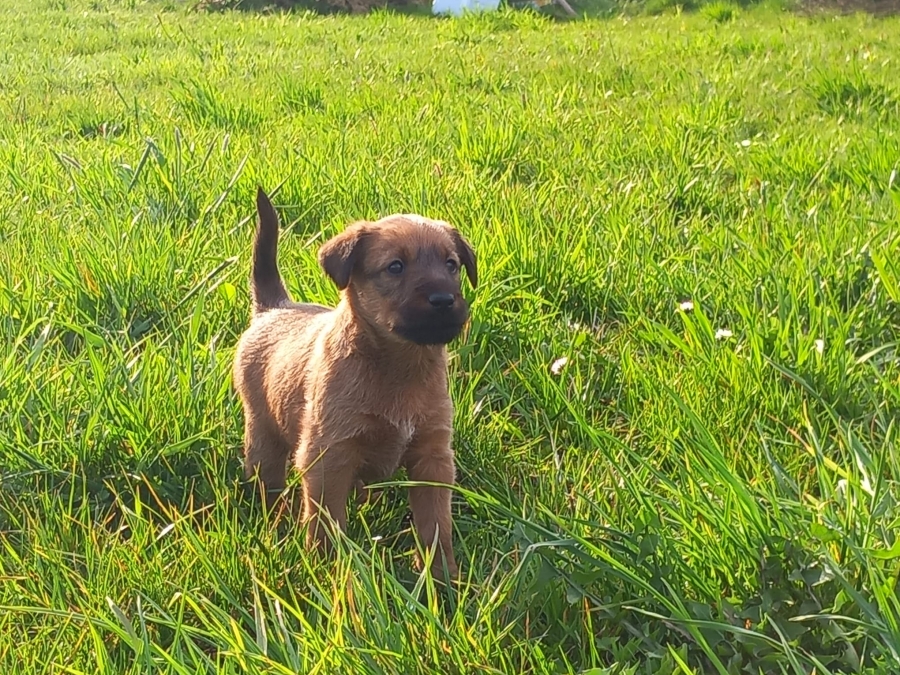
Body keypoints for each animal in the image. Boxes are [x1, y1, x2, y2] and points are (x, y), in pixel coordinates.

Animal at [232, 188, 477, 579]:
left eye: (451, 265)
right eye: (395, 267)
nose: (444, 300)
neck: (398, 366)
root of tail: (275, 308)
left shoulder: (433, 458)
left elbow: (436, 526)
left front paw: (443, 579)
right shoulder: (328, 458)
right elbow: (325, 523)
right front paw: (325, 570)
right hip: (262, 437)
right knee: (268, 483)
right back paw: (274, 525)